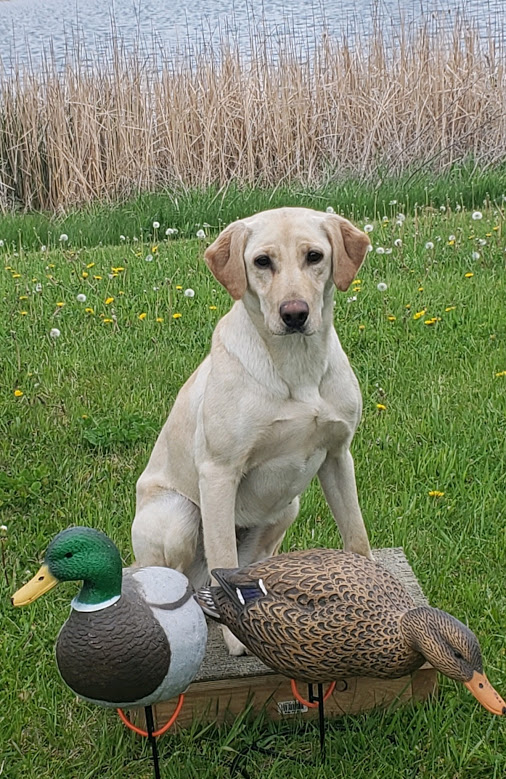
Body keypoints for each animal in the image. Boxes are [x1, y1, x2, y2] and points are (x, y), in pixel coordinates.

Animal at [132, 204, 374, 656]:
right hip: (178, 515)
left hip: (286, 509)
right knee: (180, 579)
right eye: (262, 261)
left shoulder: (337, 456)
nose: (294, 313)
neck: (297, 366)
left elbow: (356, 534)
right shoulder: (218, 473)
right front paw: (235, 637)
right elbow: (223, 556)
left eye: (314, 256)